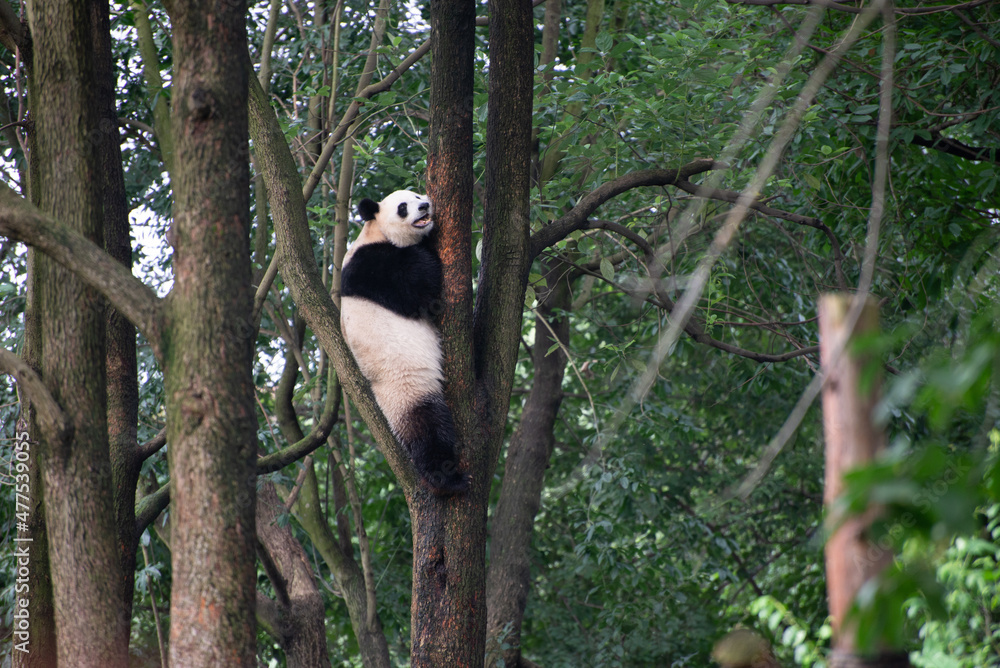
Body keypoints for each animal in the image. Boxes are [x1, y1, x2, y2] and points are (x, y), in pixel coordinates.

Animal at [340, 190, 468, 496]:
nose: (425, 206)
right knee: (425, 427)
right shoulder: (371, 266)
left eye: (418, 194)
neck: (374, 231)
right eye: (402, 207)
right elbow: (420, 288)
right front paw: (428, 249)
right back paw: (448, 479)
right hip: (404, 385)